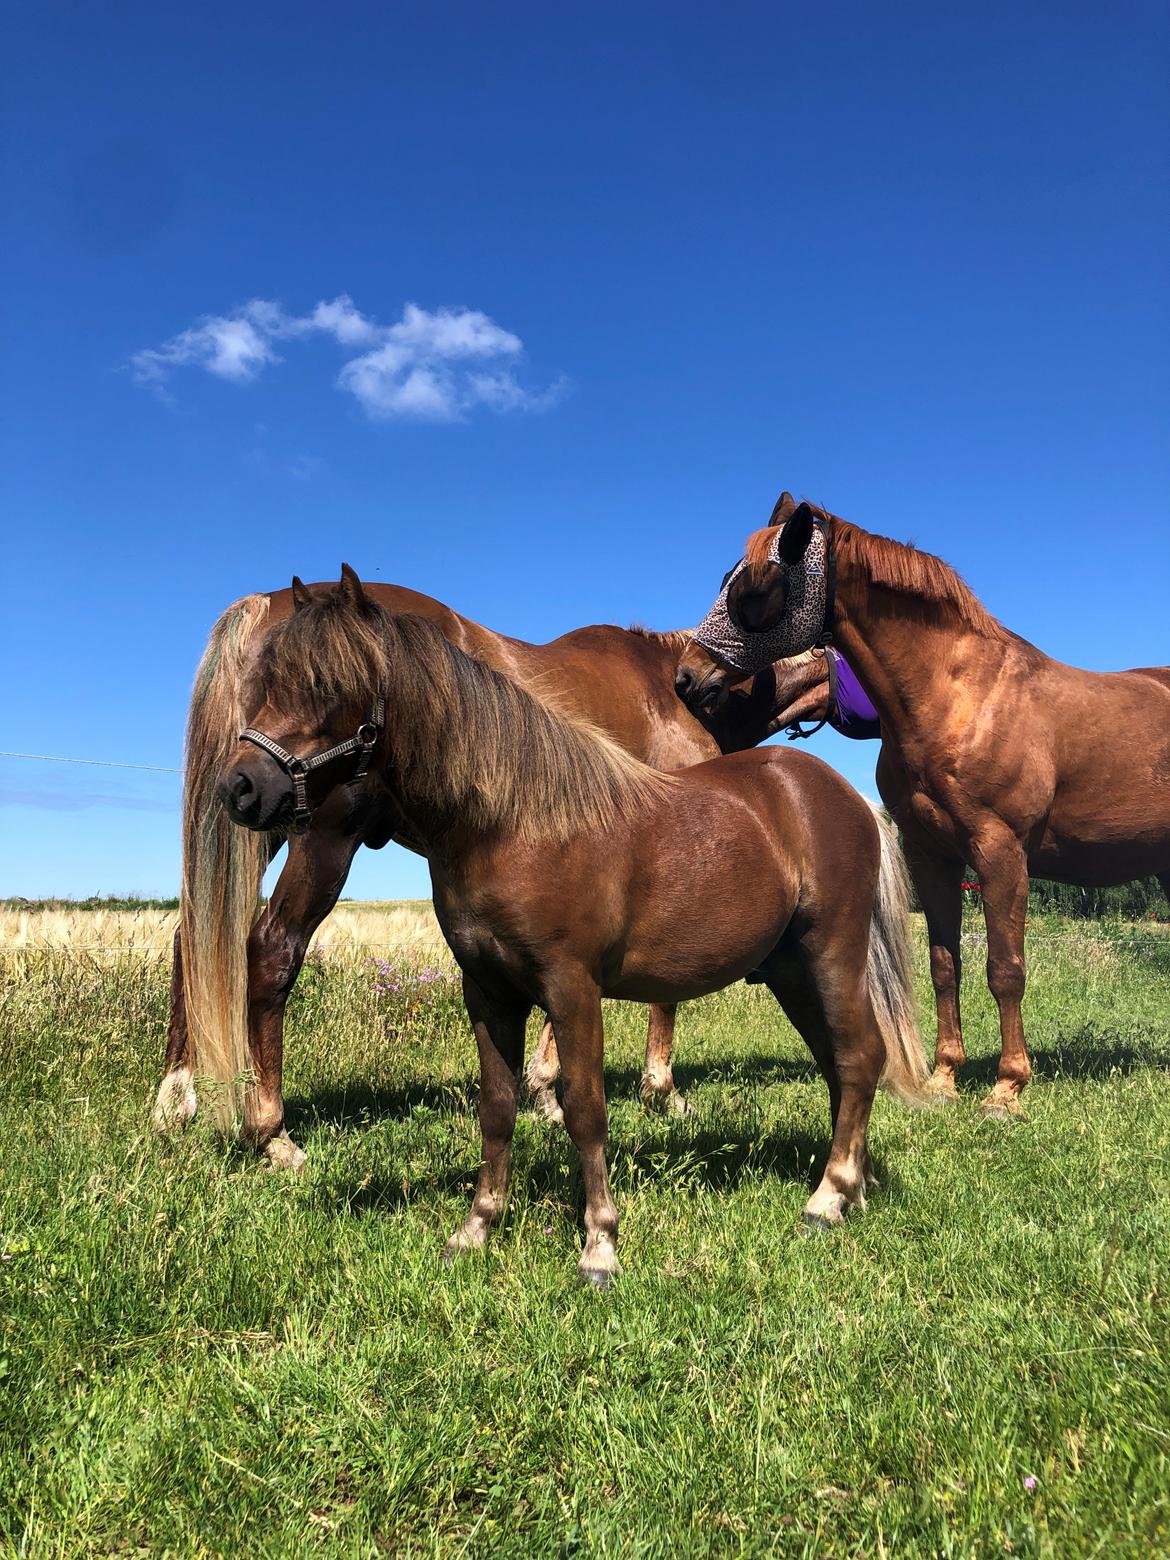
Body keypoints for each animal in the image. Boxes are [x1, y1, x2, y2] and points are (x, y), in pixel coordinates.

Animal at [210, 570, 929, 1279]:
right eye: (264, 684)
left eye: (327, 685)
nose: (241, 789)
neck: (514, 822)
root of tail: (847, 797)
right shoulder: (489, 993)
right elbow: (496, 1108)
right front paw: (477, 1227)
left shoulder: (573, 988)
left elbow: (585, 1109)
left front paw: (599, 1244)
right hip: (791, 972)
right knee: (841, 1064)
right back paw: (852, 1187)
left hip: (831, 955)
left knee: (860, 1057)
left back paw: (829, 1197)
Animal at [677, 492, 1170, 1116]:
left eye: (754, 589)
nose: (686, 678)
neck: (960, 698)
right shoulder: (931, 855)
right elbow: (944, 964)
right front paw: (945, 1078)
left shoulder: (1001, 853)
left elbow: (1004, 969)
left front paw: (1007, 1088)